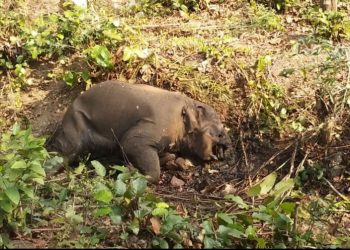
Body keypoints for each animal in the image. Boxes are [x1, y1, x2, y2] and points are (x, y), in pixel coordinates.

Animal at [45, 80, 232, 184]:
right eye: (220, 133)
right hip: (74, 126)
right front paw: (132, 173)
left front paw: (171, 159)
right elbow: (130, 143)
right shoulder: (158, 123)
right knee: (64, 153)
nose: (228, 144)